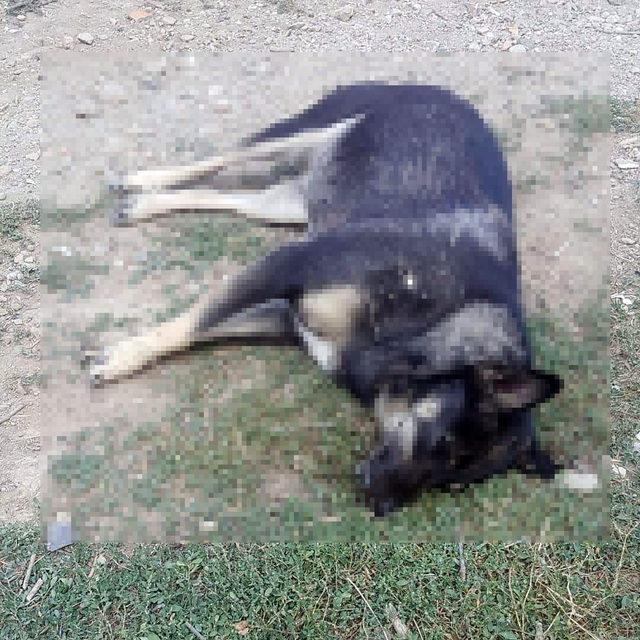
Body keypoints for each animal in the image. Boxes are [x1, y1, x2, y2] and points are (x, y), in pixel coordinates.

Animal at [84, 82, 560, 516]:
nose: (380, 506)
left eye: (454, 484)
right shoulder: (289, 264)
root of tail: (437, 87)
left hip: (293, 201)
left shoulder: (287, 318)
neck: (433, 326)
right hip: (302, 136)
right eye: (443, 442)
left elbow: (203, 327)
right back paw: (141, 181)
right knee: (223, 158)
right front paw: (123, 357)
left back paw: (144, 204)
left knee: (236, 198)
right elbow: (195, 321)